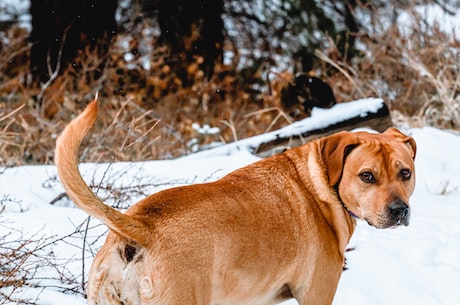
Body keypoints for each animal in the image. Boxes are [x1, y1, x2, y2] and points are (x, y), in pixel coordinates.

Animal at [54, 101, 416, 302]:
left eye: (405, 173)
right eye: (366, 176)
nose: (400, 211)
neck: (320, 185)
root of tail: (141, 226)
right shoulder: (316, 294)